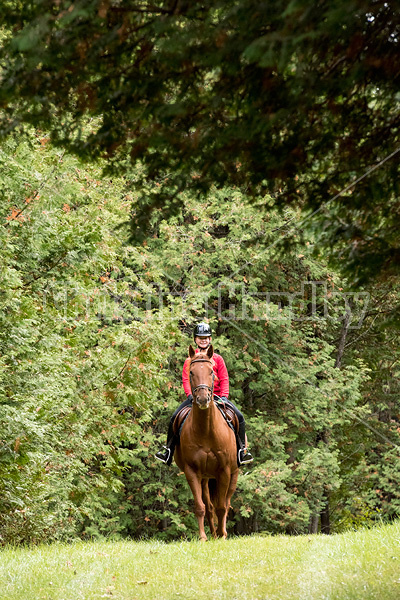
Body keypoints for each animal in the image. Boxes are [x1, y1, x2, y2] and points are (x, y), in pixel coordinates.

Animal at [174, 344, 238, 540]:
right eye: (191, 372)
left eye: (211, 372)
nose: (202, 398)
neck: (206, 431)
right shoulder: (192, 472)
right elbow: (200, 507)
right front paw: (203, 537)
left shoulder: (224, 470)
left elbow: (222, 506)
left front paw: (223, 535)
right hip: (204, 478)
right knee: (208, 507)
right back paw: (213, 534)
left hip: (234, 474)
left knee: (226, 502)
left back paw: (220, 533)